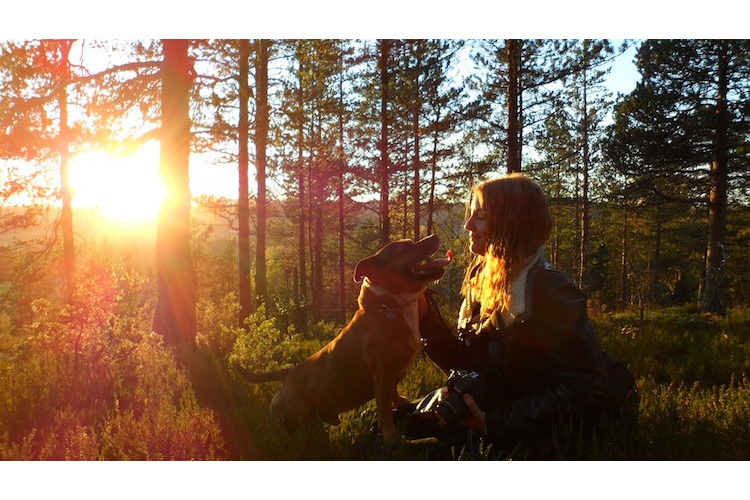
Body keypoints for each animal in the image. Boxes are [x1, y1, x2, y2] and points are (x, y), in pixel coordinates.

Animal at [238, 234, 450, 442]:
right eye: (405, 247)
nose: (434, 235)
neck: (389, 307)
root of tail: (288, 373)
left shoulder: (390, 377)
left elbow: (394, 394)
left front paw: (401, 403)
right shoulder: (383, 376)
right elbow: (385, 412)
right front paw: (392, 437)